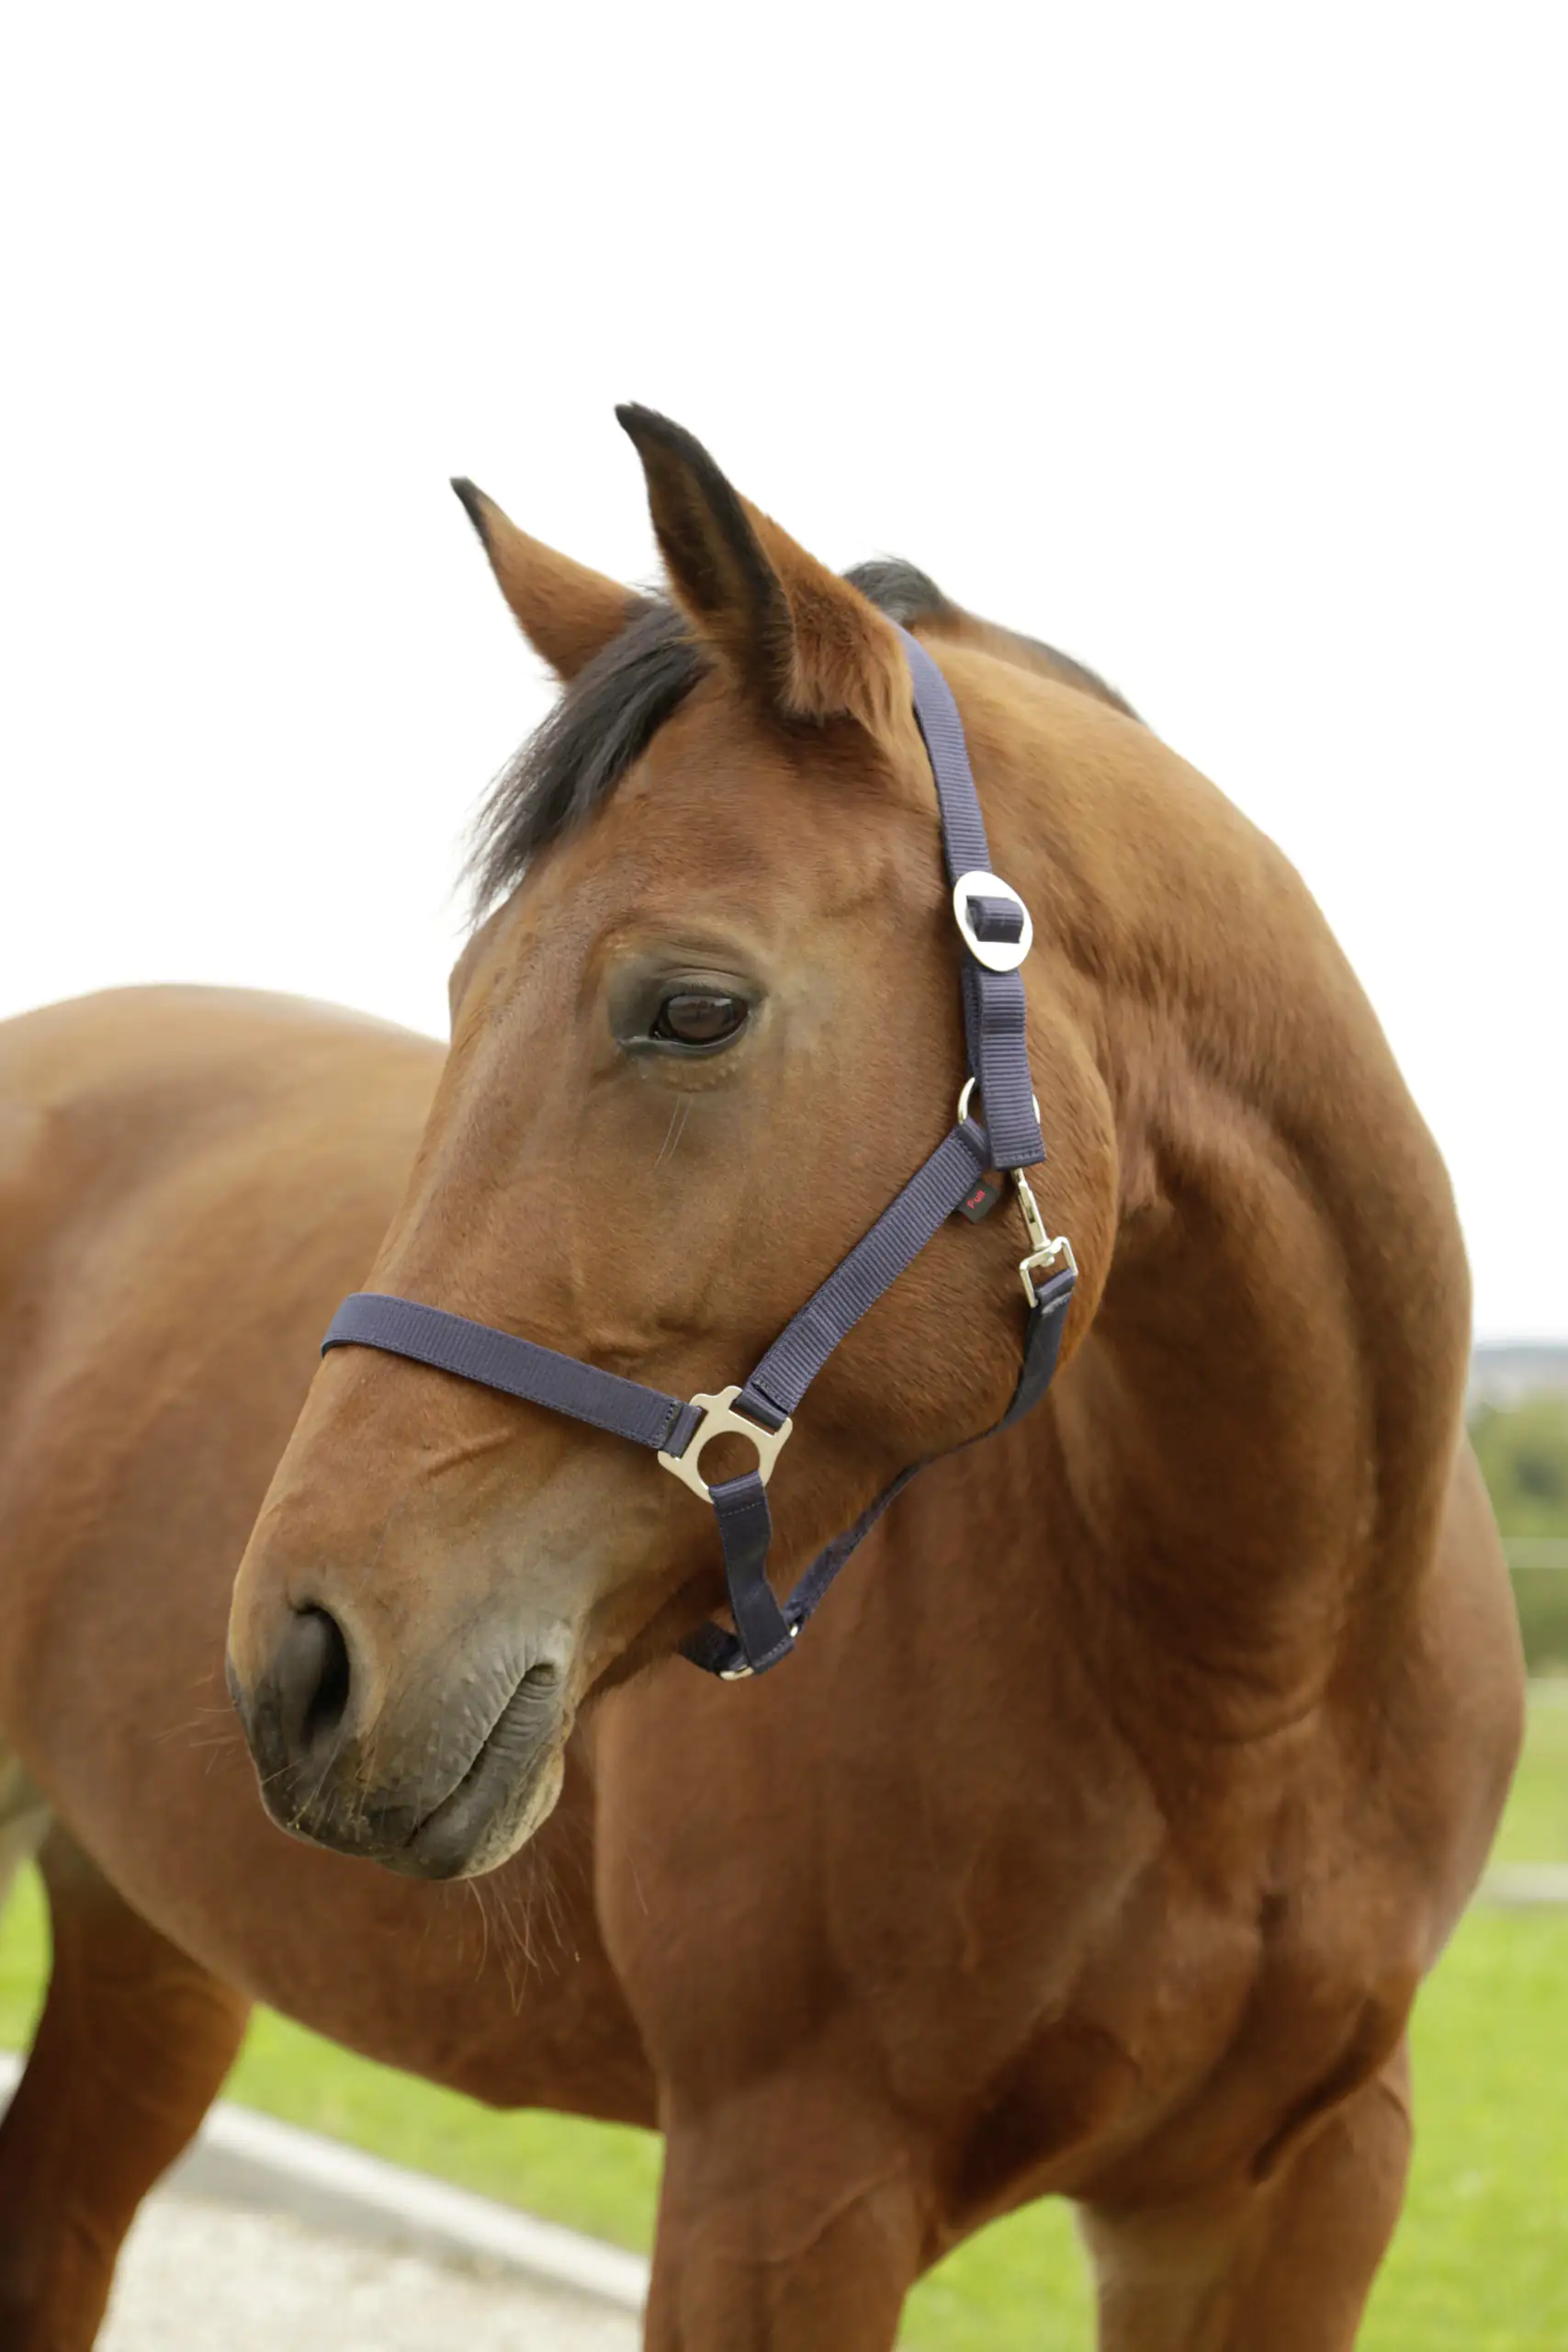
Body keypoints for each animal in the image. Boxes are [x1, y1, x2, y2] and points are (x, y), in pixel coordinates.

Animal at [0, 407, 1523, 2350]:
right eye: (463, 990)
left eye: (692, 1009)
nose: (305, 1660)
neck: (1249, 1688)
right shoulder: (781, 2194)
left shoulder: (1287, 2206)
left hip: (149, 1939)